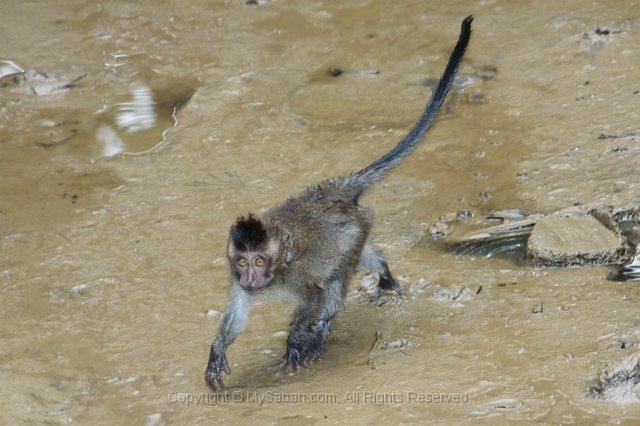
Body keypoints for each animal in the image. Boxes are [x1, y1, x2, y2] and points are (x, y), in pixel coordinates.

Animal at [206, 15, 476, 390]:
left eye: (259, 261)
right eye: (243, 262)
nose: (250, 279)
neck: (276, 275)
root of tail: (333, 190)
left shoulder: (298, 276)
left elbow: (314, 300)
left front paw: (296, 344)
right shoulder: (235, 279)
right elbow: (236, 315)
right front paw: (216, 352)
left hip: (355, 226)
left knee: (336, 280)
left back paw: (322, 334)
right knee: (359, 259)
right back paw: (384, 273)